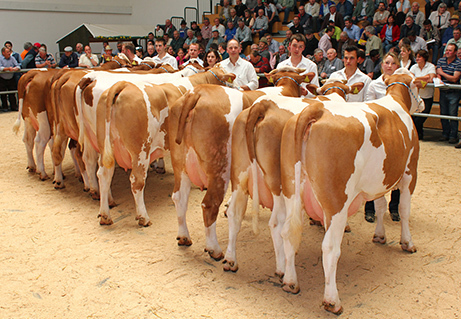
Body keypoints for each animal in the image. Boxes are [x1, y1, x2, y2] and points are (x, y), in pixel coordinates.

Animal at [167, 66, 310, 262]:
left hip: (180, 163)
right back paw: (214, 249)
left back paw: (184, 237)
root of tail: (198, 92)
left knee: (179, 197)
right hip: (220, 166)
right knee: (209, 204)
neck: (284, 88)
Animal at [223, 79, 362, 274]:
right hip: (278, 184)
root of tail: (264, 105)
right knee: (277, 223)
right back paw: (282, 268)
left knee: (234, 212)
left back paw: (230, 260)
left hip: (239, 173)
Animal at [278, 68, 422, 316]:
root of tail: (317, 110)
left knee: (288, 232)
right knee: (329, 247)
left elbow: (380, 205)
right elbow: (404, 209)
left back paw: (290, 282)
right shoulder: (409, 172)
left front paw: (380, 235)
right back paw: (332, 301)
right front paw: (407, 242)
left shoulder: (378, 180)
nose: (422, 103)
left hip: (291, 191)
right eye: (418, 85)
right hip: (337, 201)